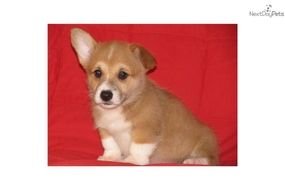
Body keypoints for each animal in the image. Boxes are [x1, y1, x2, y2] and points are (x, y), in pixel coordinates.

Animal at [70, 27, 217, 165]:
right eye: (97, 73)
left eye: (122, 74)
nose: (105, 95)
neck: (122, 107)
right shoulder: (105, 129)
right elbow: (111, 145)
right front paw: (110, 157)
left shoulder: (146, 129)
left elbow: (138, 147)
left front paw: (132, 160)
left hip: (205, 142)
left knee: (210, 158)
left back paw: (194, 161)